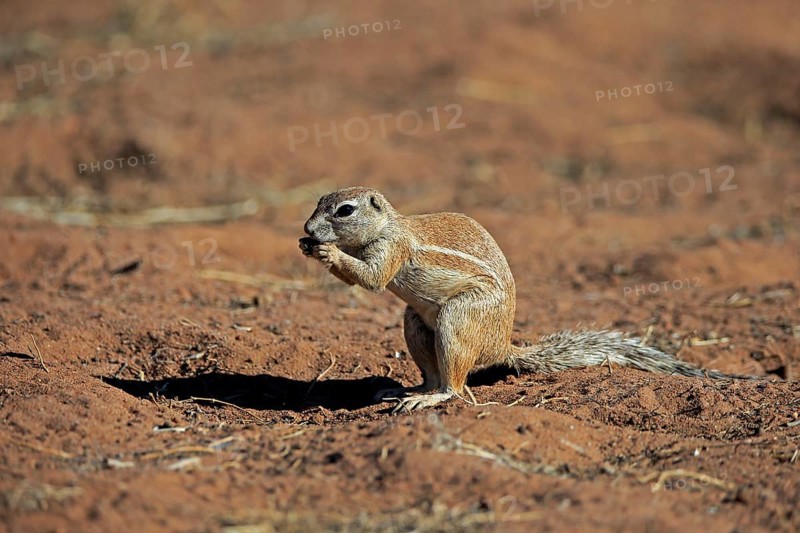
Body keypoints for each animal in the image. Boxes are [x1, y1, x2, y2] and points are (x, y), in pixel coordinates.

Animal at [300, 187, 752, 412]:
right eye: (318, 201)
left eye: (344, 210)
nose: (306, 228)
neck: (386, 225)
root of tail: (502, 346)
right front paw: (308, 246)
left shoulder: (391, 249)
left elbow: (374, 278)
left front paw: (327, 252)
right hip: (415, 322)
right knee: (432, 372)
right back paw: (406, 391)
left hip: (458, 321)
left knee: (456, 386)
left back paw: (429, 399)